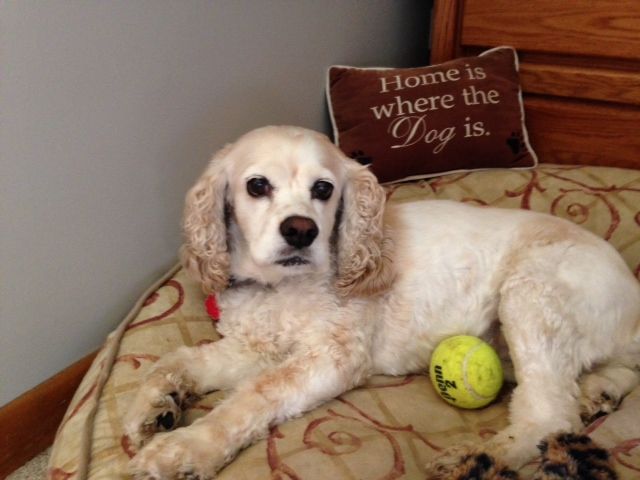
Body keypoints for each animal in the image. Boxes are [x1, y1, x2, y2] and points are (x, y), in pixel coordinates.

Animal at [125, 126, 640, 479]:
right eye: (256, 185)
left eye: (324, 189)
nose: (301, 231)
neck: (278, 287)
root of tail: (632, 290)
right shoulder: (257, 347)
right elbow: (177, 360)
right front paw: (153, 406)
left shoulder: (334, 357)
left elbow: (253, 397)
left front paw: (186, 449)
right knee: (604, 377)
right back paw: (598, 393)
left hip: (533, 294)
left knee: (548, 414)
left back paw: (477, 458)